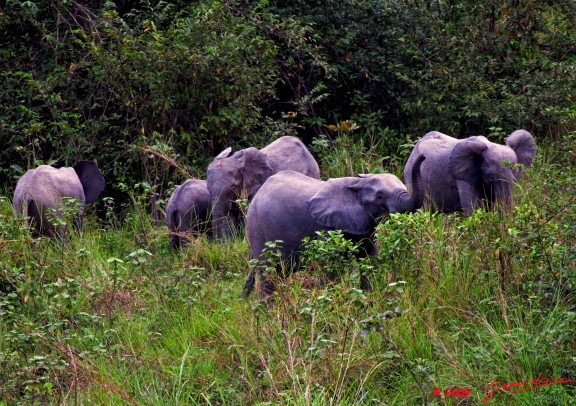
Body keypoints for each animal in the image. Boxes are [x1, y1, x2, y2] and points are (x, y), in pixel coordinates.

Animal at [244, 155, 428, 298]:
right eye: (380, 196)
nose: (423, 157)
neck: (356, 184)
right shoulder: (326, 227)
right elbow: (331, 268)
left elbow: (369, 260)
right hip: (256, 229)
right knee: (267, 274)